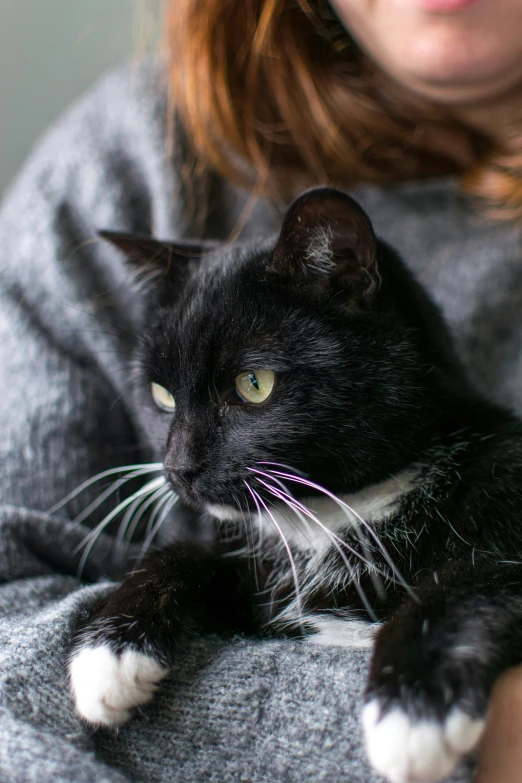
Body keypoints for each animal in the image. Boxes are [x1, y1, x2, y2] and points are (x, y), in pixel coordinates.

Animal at [67, 190, 520, 783]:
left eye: (253, 385)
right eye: (162, 395)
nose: (178, 466)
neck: (333, 518)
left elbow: (470, 577)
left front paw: (413, 708)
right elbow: (186, 555)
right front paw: (109, 651)